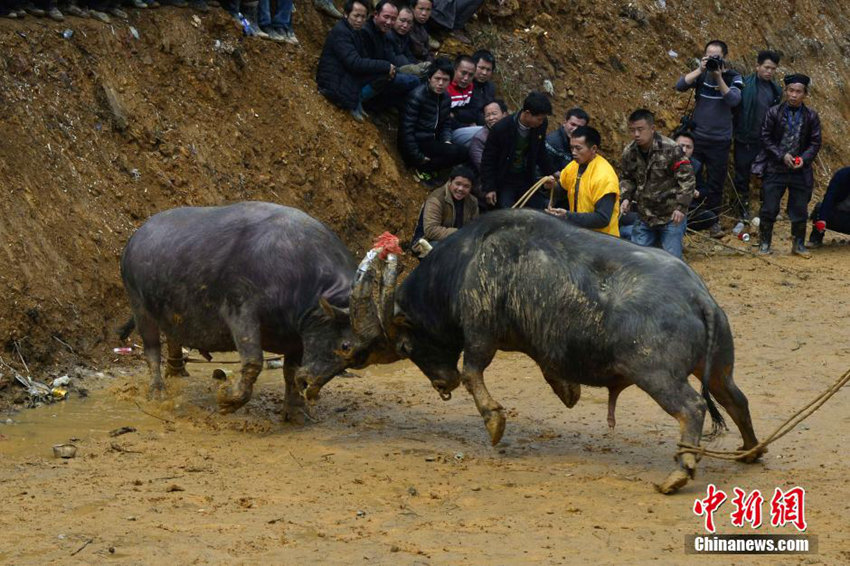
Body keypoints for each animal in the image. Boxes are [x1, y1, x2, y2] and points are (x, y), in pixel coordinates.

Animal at [118, 202, 374, 420]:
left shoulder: (297, 337)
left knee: (173, 335)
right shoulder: (240, 309)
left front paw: (297, 414)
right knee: (152, 350)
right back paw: (157, 392)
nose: (311, 387)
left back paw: (178, 373)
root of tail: (134, 239)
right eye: (345, 346)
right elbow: (253, 361)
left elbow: (290, 372)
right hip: (139, 305)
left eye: (359, 357)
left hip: (169, 308)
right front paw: (226, 400)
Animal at [338, 211, 760, 494]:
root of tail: (698, 296)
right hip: (718, 368)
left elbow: (474, 372)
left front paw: (494, 422)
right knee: (736, 399)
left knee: (692, 407)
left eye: (406, 345)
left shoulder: (480, 333)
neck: (469, 261)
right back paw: (749, 452)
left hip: (658, 376)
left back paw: (679, 473)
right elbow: (549, 368)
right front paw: (567, 391)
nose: (444, 384)